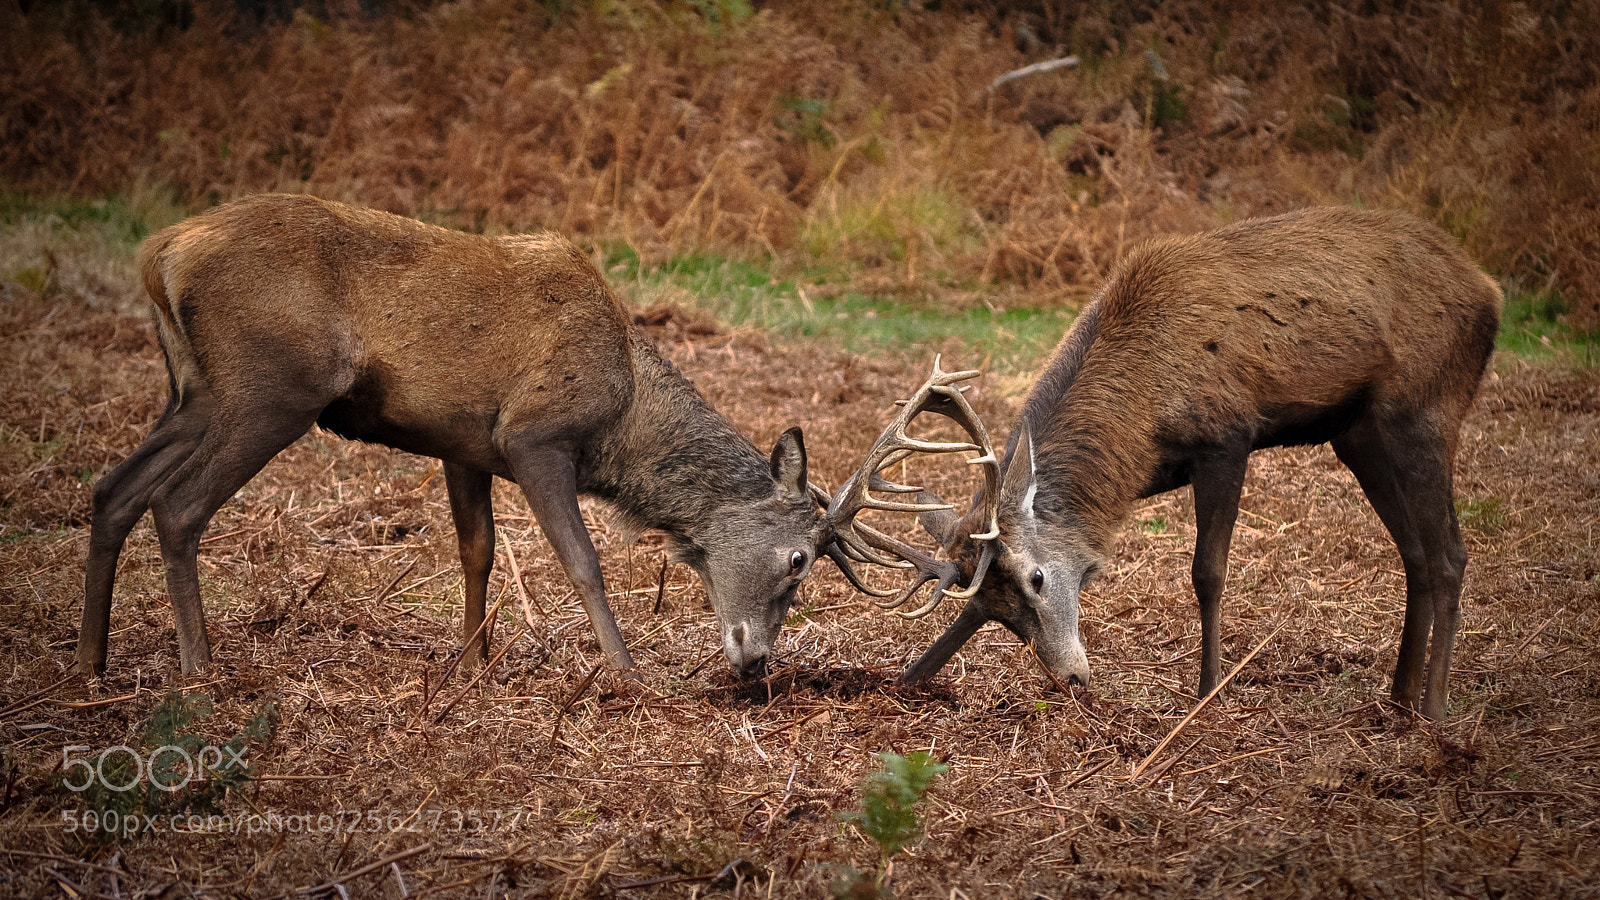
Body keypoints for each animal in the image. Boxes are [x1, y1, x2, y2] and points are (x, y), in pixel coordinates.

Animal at [80, 193, 829, 678]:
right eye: (798, 559)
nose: (756, 661)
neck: (622, 421)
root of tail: (161, 254)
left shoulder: (462, 446)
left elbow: (478, 550)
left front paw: (472, 665)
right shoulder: (535, 435)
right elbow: (582, 561)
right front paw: (625, 671)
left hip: (195, 392)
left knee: (113, 490)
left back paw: (92, 661)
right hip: (272, 388)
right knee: (176, 505)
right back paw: (198, 668)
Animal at [821, 207, 1502, 720]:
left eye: (1037, 577)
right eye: (1002, 613)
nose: (1072, 677)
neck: (1142, 427)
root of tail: (1489, 292)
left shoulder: (1228, 434)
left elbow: (1208, 571)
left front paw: (1207, 690)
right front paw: (909, 676)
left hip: (1424, 406)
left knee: (1450, 553)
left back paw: (1434, 708)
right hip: (1357, 433)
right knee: (1416, 554)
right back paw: (1399, 696)